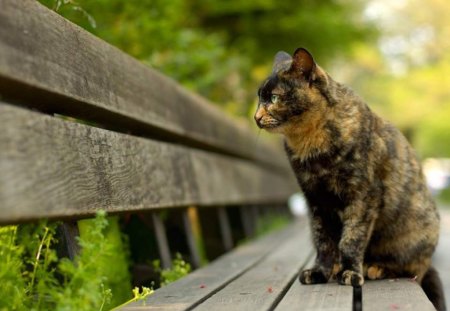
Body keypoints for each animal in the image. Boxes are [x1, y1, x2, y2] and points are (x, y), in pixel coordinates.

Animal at [255, 47, 444, 310]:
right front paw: (321, 272)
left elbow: (351, 239)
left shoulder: (362, 196)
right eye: (259, 98)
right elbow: (324, 241)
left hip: (417, 233)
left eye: (273, 98)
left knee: (414, 268)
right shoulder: (315, 200)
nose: (256, 117)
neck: (311, 147)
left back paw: (374, 267)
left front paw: (350, 272)